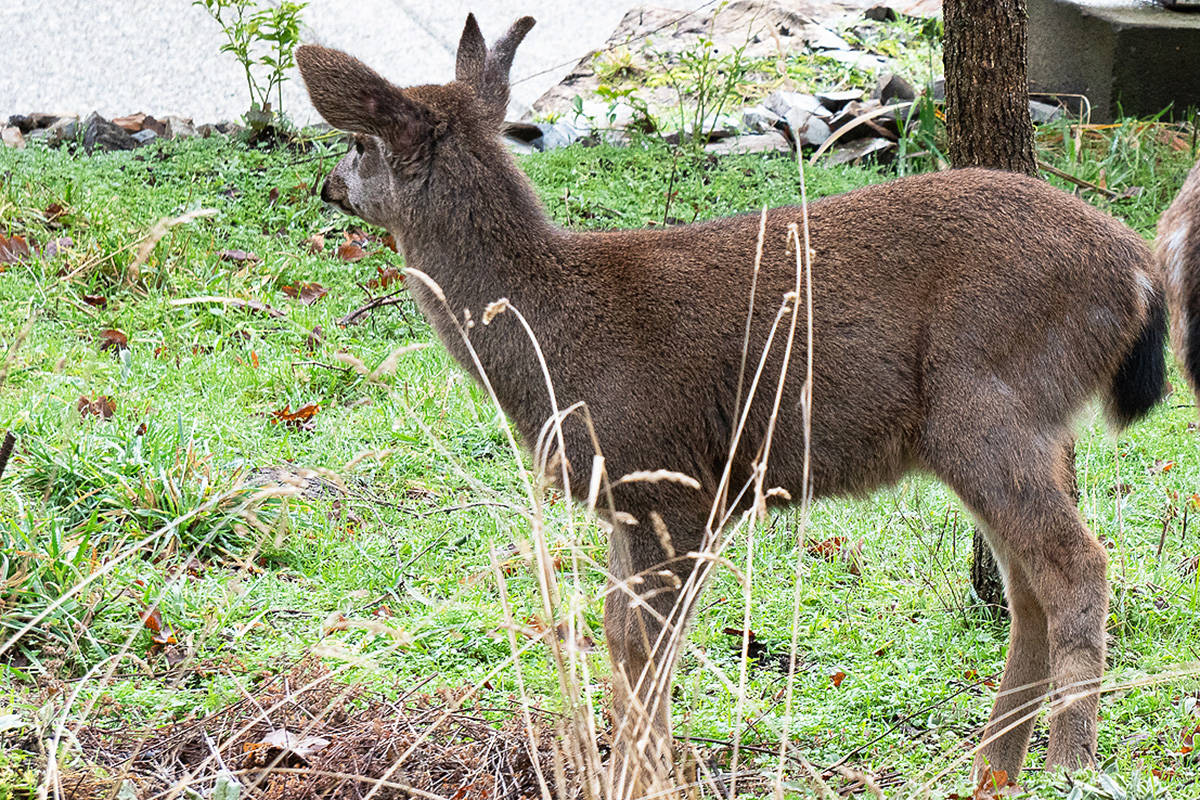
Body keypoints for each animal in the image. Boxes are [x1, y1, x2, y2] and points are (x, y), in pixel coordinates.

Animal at [295, 15, 1185, 796]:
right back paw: (992, 772)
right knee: (1028, 584)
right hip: (1015, 426)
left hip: (989, 403)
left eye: (357, 142)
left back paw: (1070, 766)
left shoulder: (674, 481)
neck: (550, 334)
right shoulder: (631, 497)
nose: (327, 185)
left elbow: (647, 647)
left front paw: (645, 776)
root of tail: (1138, 268)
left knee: (1076, 565)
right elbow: (616, 635)